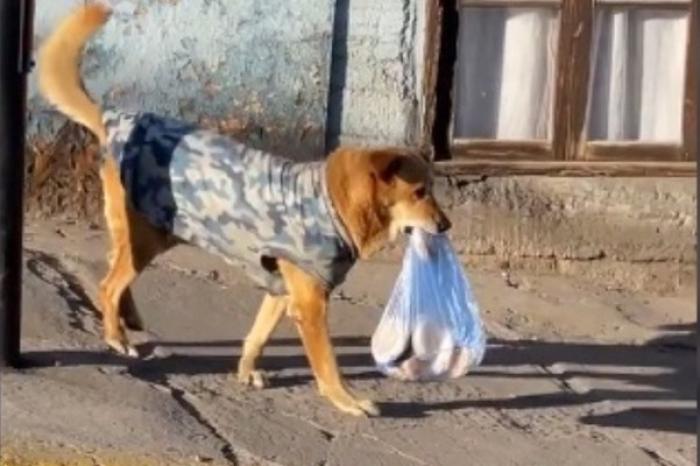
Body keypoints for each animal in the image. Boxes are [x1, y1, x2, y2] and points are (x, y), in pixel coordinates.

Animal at [38, 1, 452, 414]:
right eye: (420, 192)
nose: (446, 226)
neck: (334, 201)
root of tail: (114, 121)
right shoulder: (310, 304)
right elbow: (327, 363)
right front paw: (345, 400)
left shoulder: (281, 291)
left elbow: (258, 335)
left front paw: (246, 370)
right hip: (148, 237)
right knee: (109, 285)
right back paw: (116, 335)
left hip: (150, 233)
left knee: (114, 267)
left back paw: (129, 317)